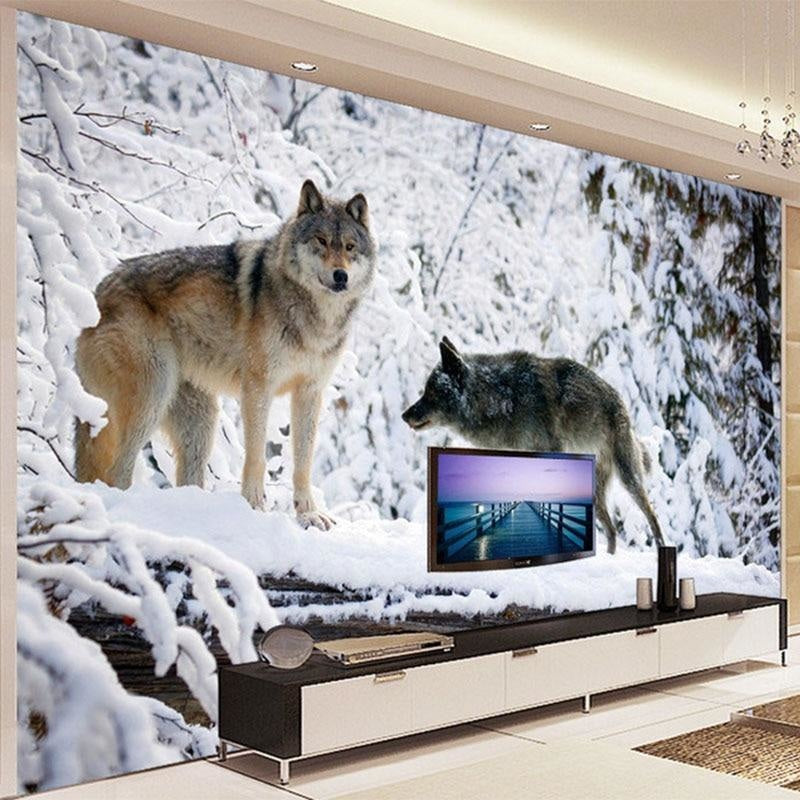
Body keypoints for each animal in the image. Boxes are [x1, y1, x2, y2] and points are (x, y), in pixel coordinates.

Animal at [74, 179, 376, 529]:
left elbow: (303, 462)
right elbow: (257, 455)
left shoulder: (310, 392)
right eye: (322, 240)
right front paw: (254, 506)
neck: (315, 318)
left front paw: (309, 514)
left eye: (350, 247)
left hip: (201, 421)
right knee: (117, 471)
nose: (341, 276)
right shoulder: (258, 387)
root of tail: (96, 293)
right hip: (152, 395)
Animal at [402, 338, 665, 553]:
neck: (502, 398)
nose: (405, 415)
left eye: (430, 392)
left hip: (628, 478)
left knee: (651, 515)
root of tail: (620, 402)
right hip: (599, 493)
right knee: (611, 531)